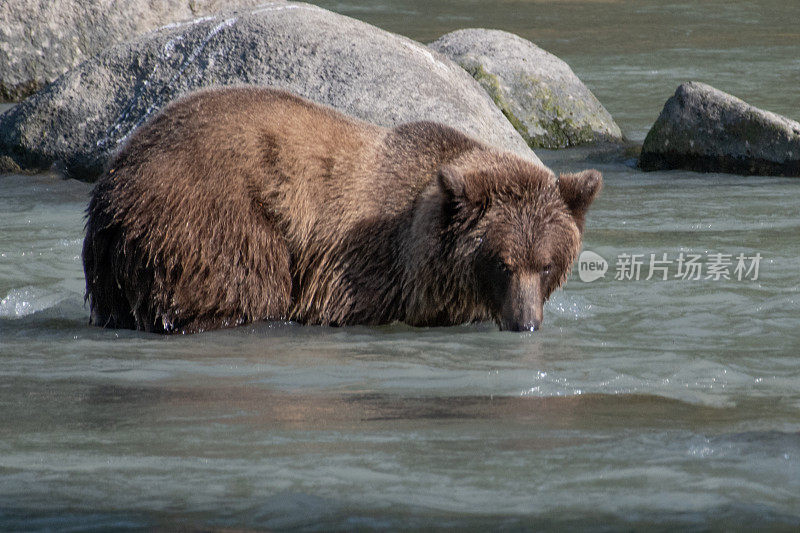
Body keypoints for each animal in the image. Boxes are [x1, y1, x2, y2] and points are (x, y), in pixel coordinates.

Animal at [83, 87, 600, 332]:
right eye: (501, 263)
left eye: (547, 264)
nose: (525, 322)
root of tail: (114, 179)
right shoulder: (360, 268)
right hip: (211, 215)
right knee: (238, 285)